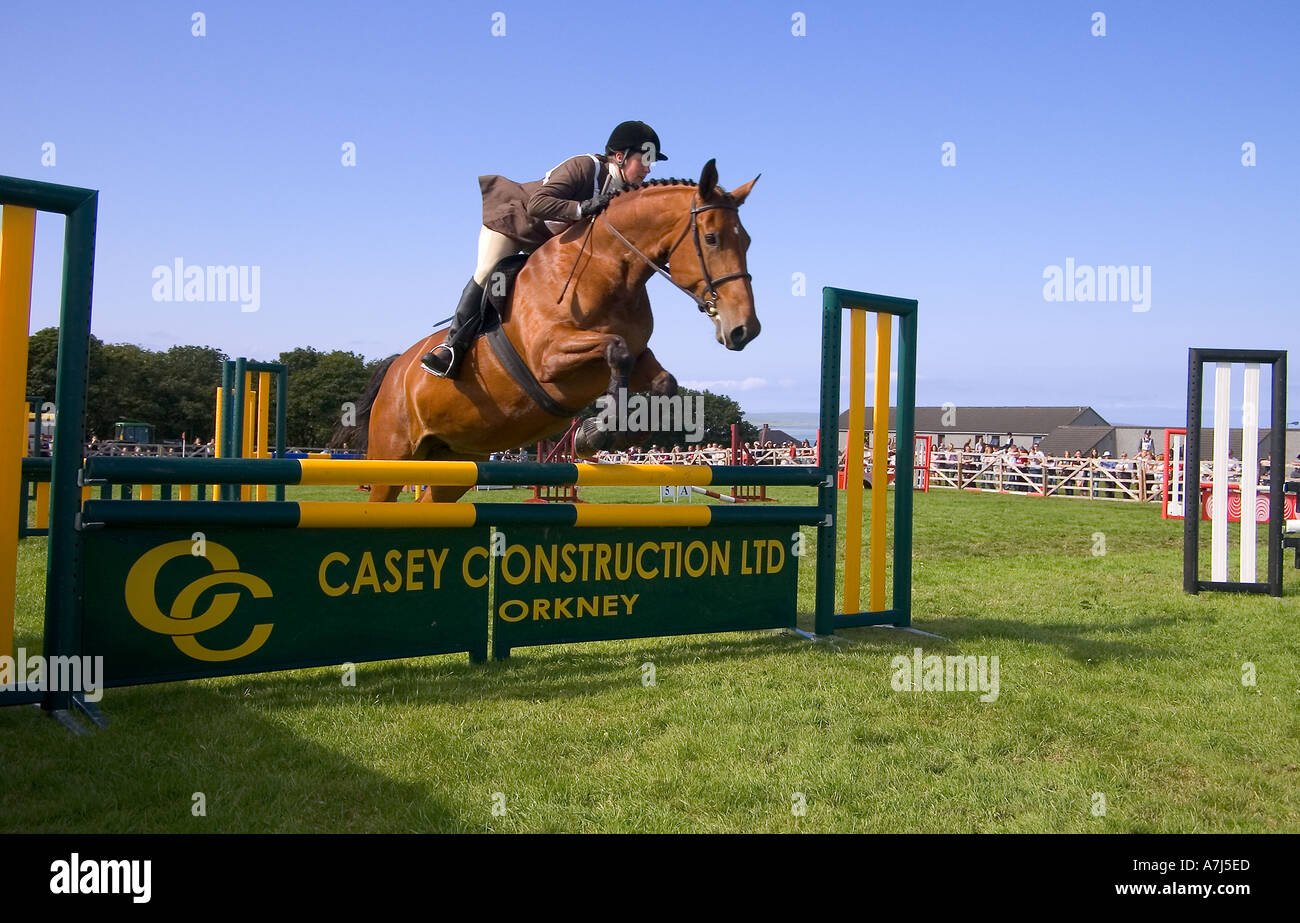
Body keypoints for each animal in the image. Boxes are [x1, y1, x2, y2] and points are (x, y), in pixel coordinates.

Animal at [335, 161, 759, 506]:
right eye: (712, 239)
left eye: (748, 241)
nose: (745, 330)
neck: (606, 267)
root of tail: (396, 369)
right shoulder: (549, 358)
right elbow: (616, 349)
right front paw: (597, 432)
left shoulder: (640, 357)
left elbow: (663, 382)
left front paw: (612, 433)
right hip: (393, 452)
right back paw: (441, 357)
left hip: (457, 459)